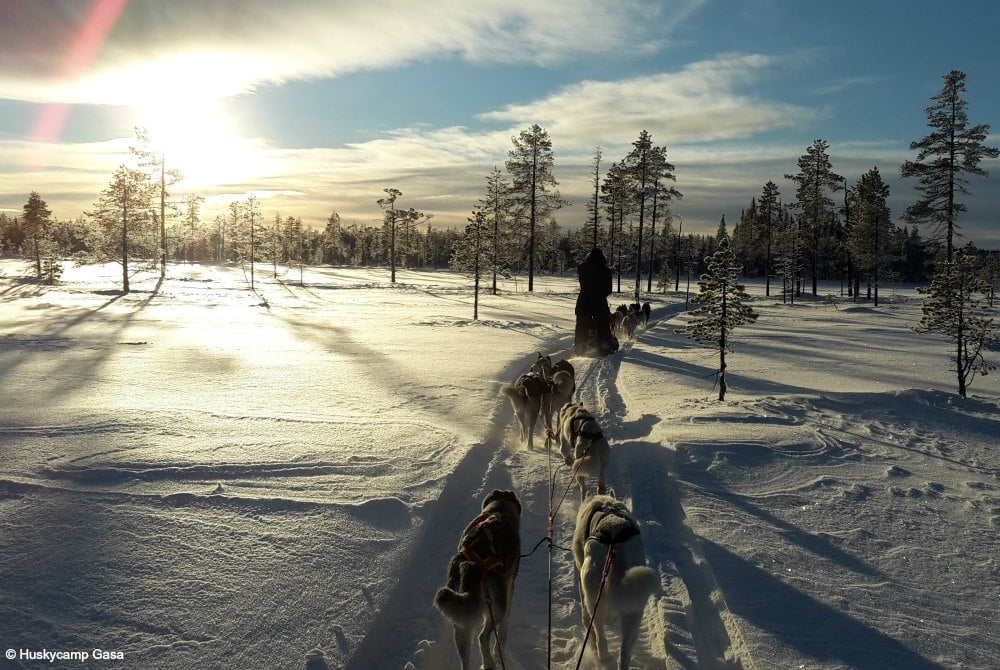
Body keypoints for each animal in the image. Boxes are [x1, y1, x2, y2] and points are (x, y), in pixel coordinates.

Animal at [434, 488, 524, 670]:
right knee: (482, 637)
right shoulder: (510, 586)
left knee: (465, 658)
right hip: (496, 609)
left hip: (461, 626)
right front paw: (499, 649)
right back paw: (489, 663)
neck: (498, 510)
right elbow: (504, 628)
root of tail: (472, 565)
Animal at [572, 496, 656, 668]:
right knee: (624, 653)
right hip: (634, 611)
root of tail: (615, 548)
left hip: (594, 602)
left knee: (599, 636)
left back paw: (602, 656)